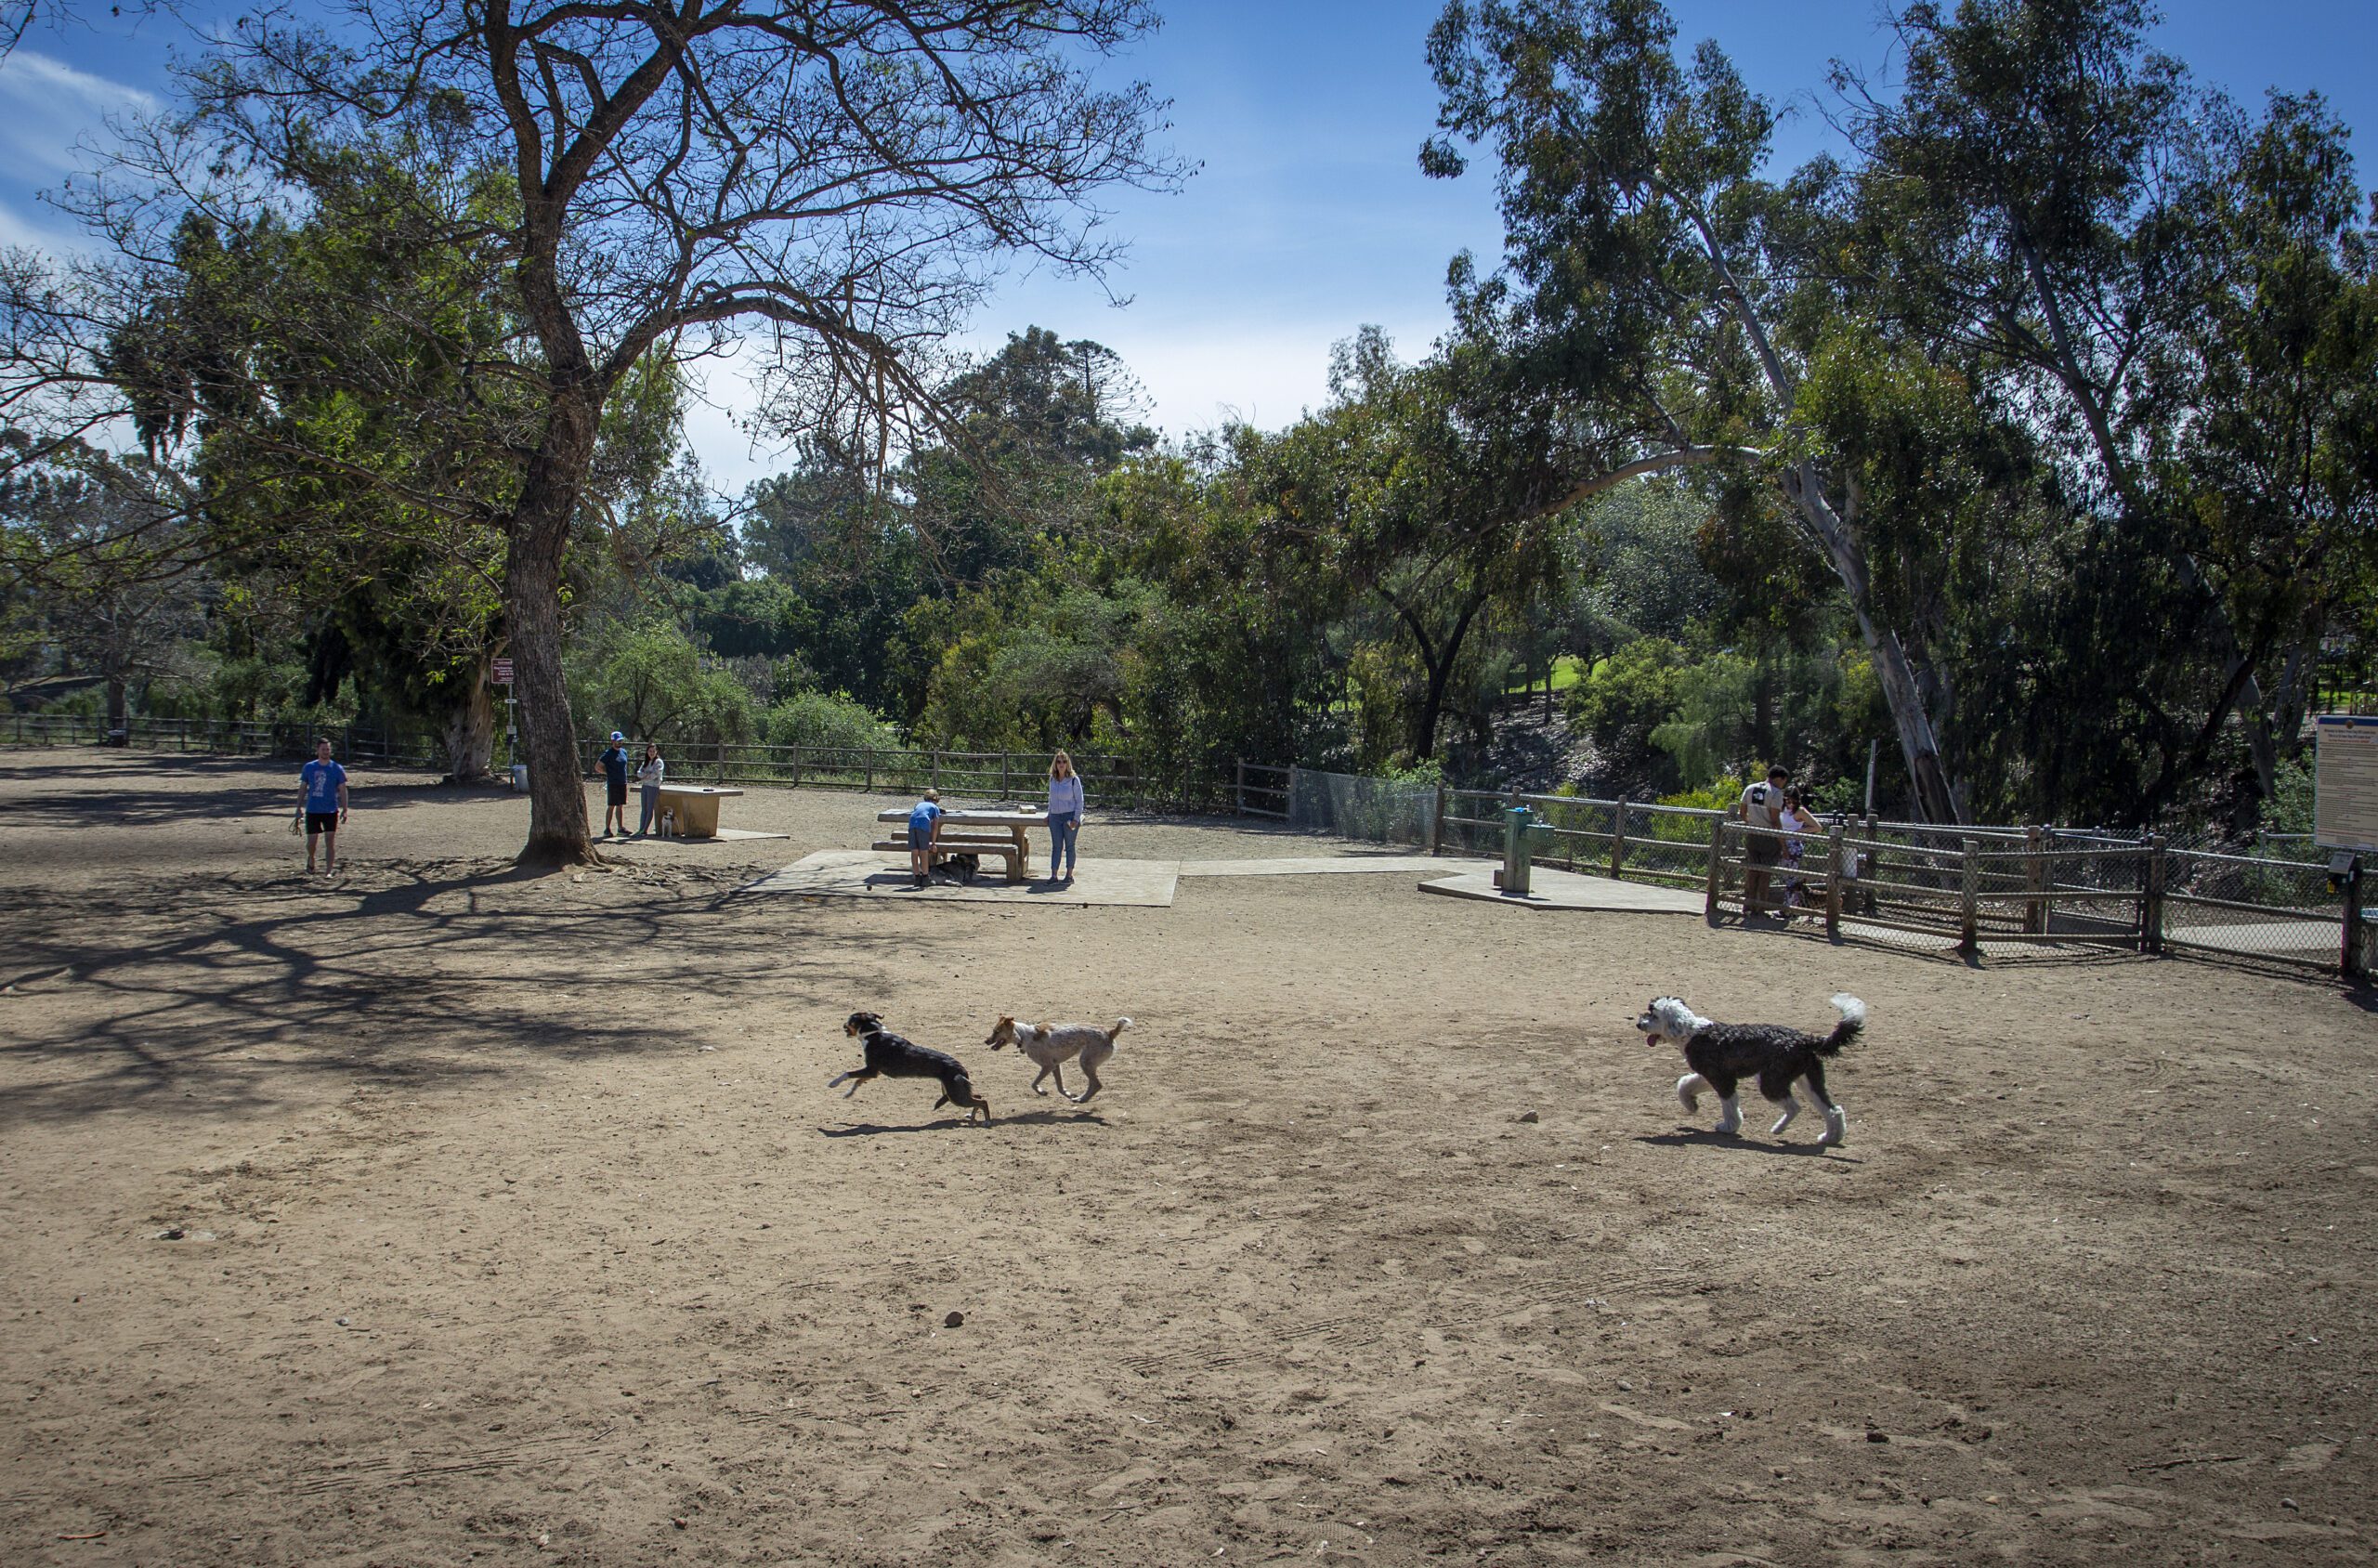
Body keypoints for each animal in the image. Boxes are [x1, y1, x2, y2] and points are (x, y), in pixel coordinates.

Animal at [832, 1018, 988, 1128]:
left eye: (851, 1021)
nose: (843, 1025)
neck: (874, 1034)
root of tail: (961, 1068)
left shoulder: (870, 1070)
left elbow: (848, 1074)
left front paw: (833, 1083)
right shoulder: (873, 1073)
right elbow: (857, 1081)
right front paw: (848, 1093)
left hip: (955, 1096)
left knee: (983, 1101)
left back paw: (987, 1122)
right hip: (954, 1093)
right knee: (978, 1096)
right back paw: (973, 1117)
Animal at [984, 1018, 1131, 1104]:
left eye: (997, 1031)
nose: (986, 1041)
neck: (1023, 1035)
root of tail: (1110, 1033)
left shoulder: (1047, 1066)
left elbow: (1033, 1084)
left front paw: (1042, 1091)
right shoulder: (1056, 1066)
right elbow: (1060, 1087)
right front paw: (1068, 1094)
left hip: (1085, 1062)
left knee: (1097, 1085)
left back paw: (1081, 1099)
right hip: (1087, 1063)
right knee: (1094, 1084)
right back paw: (1080, 1098)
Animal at [1636, 999, 1854, 1146]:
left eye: (1654, 1015)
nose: (1639, 1024)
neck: (1692, 1033)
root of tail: (1806, 1040)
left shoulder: (1723, 1080)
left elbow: (1729, 1106)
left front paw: (1728, 1127)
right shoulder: (1711, 1075)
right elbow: (1685, 1083)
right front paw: (1691, 1105)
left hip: (1772, 1082)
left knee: (1795, 1107)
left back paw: (1778, 1128)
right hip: (1809, 1080)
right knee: (1833, 1110)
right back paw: (1830, 1137)